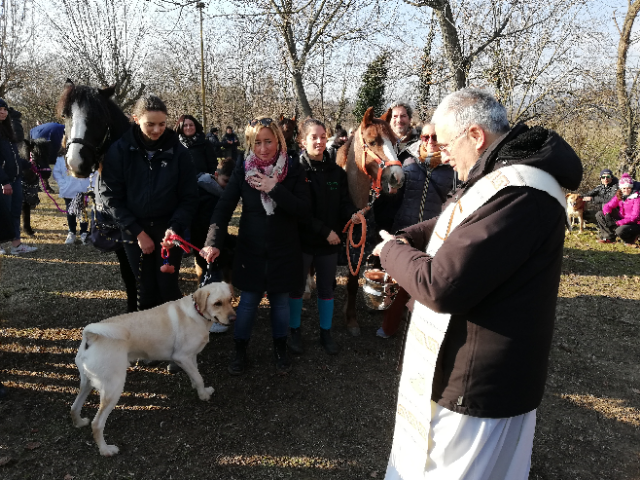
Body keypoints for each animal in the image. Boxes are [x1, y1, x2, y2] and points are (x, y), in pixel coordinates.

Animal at [338, 107, 402, 336]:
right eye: (373, 141)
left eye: (395, 141)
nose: (398, 177)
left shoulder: (356, 247)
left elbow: (353, 282)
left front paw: (350, 320)